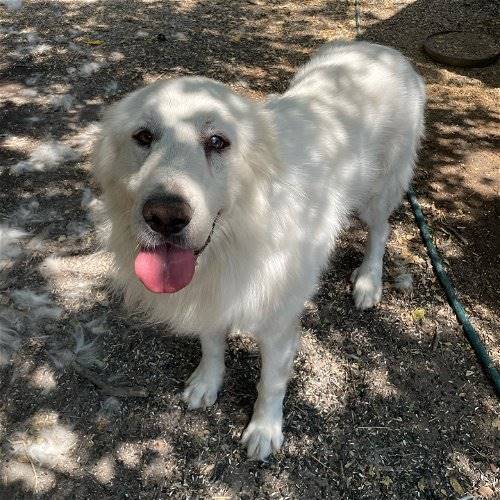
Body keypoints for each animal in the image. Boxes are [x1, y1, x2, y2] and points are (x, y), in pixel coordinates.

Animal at [94, 41, 426, 458]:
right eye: (143, 136)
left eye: (217, 142)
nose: (165, 217)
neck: (237, 236)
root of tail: (385, 50)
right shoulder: (211, 298)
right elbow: (211, 345)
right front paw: (207, 383)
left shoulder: (279, 326)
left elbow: (271, 383)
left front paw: (264, 430)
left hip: (377, 193)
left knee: (380, 231)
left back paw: (369, 281)